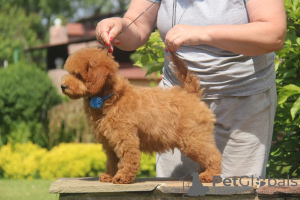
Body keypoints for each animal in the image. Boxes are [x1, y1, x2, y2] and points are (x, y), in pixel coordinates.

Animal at [61, 47, 221, 184]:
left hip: (192, 138)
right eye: (70, 73)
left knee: (213, 155)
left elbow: (128, 157)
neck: (110, 97)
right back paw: (201, 173)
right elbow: (112, 160)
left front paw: (122, 176)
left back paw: (209, 175)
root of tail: (192, 94)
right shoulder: (109, 141)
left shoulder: (125, 137)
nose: (63, 86)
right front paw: (109, 175)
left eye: (78, 75)